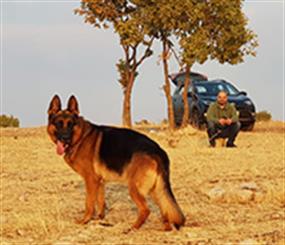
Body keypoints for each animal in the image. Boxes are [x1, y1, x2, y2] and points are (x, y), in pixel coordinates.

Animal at [47, 94, 184, 231]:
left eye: (70, 124)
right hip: (156, 189)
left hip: (134, 188)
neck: (80, 137)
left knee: (146, 210)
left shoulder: (91, 180)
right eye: (58, 124)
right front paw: (99, 219)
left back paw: (133, 228)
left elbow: (89, 203)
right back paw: (166, 227)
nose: (65, 138)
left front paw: (85, 220)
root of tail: (158, 151)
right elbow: (100, 202)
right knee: (165, 207)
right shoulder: (99, 182)